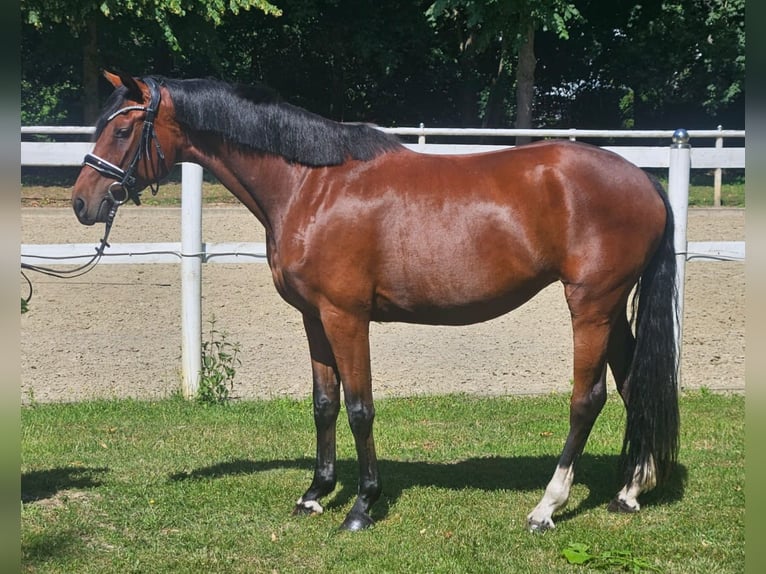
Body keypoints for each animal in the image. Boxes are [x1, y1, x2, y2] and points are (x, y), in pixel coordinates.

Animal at [72, 71, 679, 532]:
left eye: (123, 129)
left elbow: (360, 407)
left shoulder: (347, 317)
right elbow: (324, 403)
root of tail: (645, 182)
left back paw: (547, 507)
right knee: (633, 385)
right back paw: (631, 490)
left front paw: (362, 505)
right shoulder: (314, 317)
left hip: (591, 305)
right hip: (610, 309)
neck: (311, 186)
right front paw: (315, 493)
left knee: (588, 398)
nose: (82, 202)